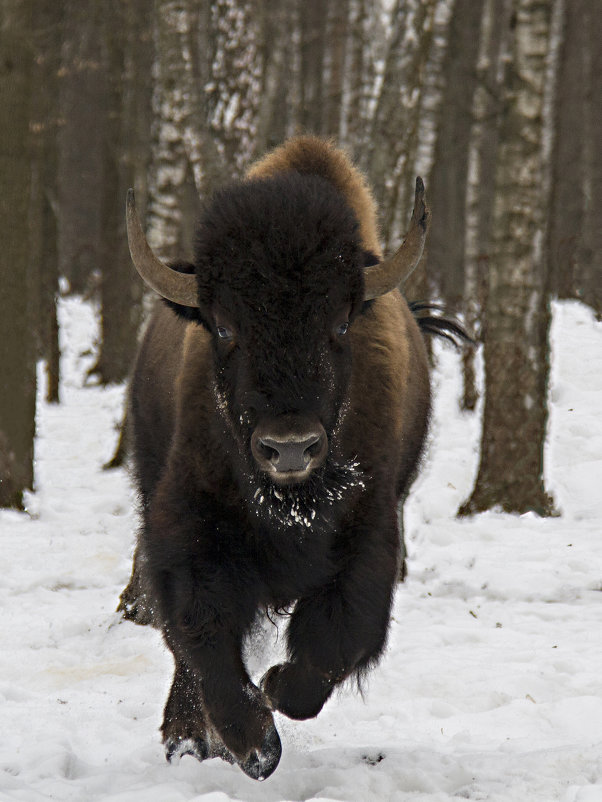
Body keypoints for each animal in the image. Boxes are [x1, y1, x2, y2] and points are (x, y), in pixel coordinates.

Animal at [122, 136, 466, 776]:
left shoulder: (371, 535)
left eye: (340, 324)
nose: (289, 447)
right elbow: (201, 633)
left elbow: (337, 638)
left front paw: (276, 687)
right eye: (224, 328)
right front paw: (254, 747)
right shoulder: (187, 531)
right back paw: (187, 740)